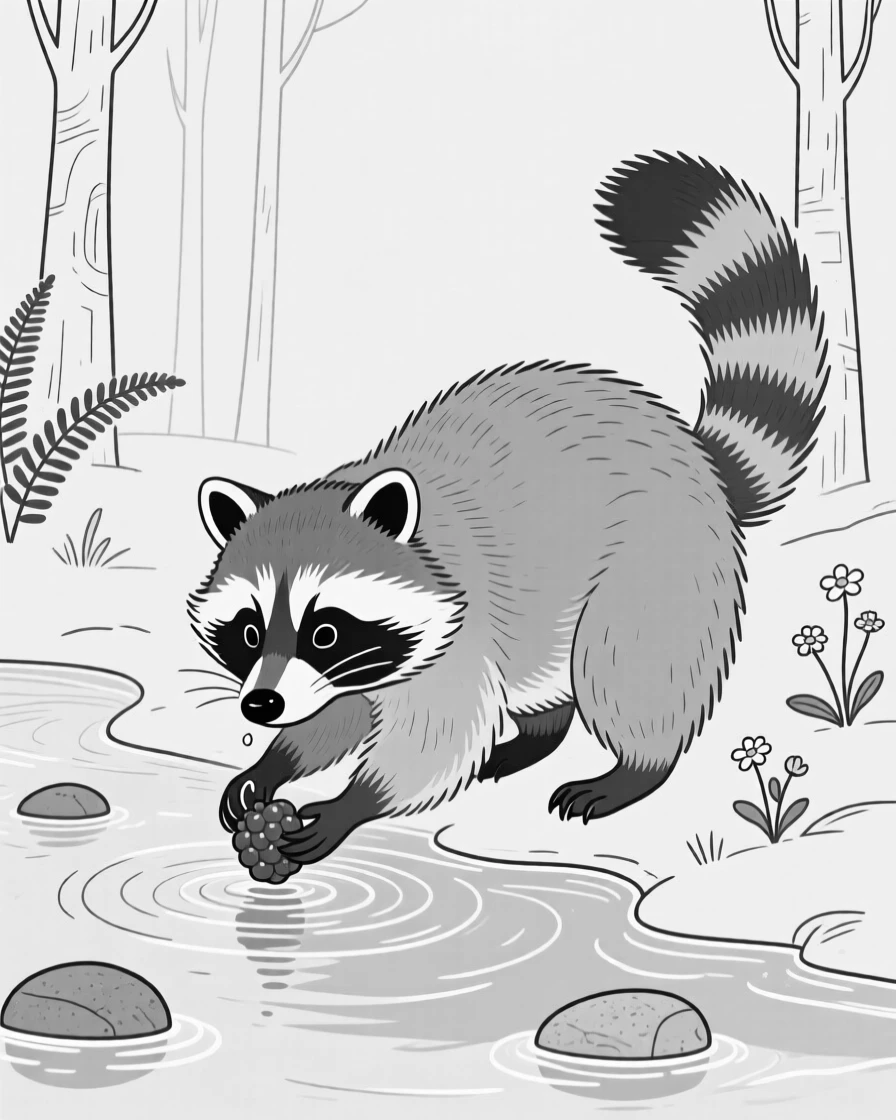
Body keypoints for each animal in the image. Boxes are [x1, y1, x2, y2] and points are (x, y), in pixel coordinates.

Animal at [190, 153, 828, 865]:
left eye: (325, 630)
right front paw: (273, 763)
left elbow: (434, 739)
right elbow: (340, 711)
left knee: (625, 665)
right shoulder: (368, 666)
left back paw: (636, 768)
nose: (260, 706)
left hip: (661, 564)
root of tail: (699, 460)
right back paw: (539, 732)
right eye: (248, 631)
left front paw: (350, 804)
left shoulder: (459, 628)